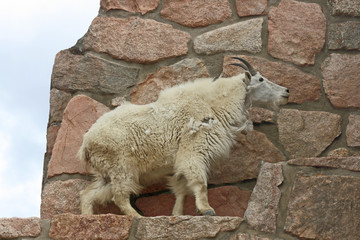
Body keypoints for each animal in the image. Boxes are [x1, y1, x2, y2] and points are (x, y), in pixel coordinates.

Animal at [79, 57, 290, 217]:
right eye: (261, 79)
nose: (286, 92)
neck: (214, 107)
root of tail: (86, 143)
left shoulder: (179, 164)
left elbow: (181, 191)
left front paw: (177, 214)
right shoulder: (194, 151)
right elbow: (200, 183)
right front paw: (207, 210)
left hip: (106, 172)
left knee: (89, 194)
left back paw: (88, 217)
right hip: (121, 167)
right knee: (119, 195)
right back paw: (137, 217)